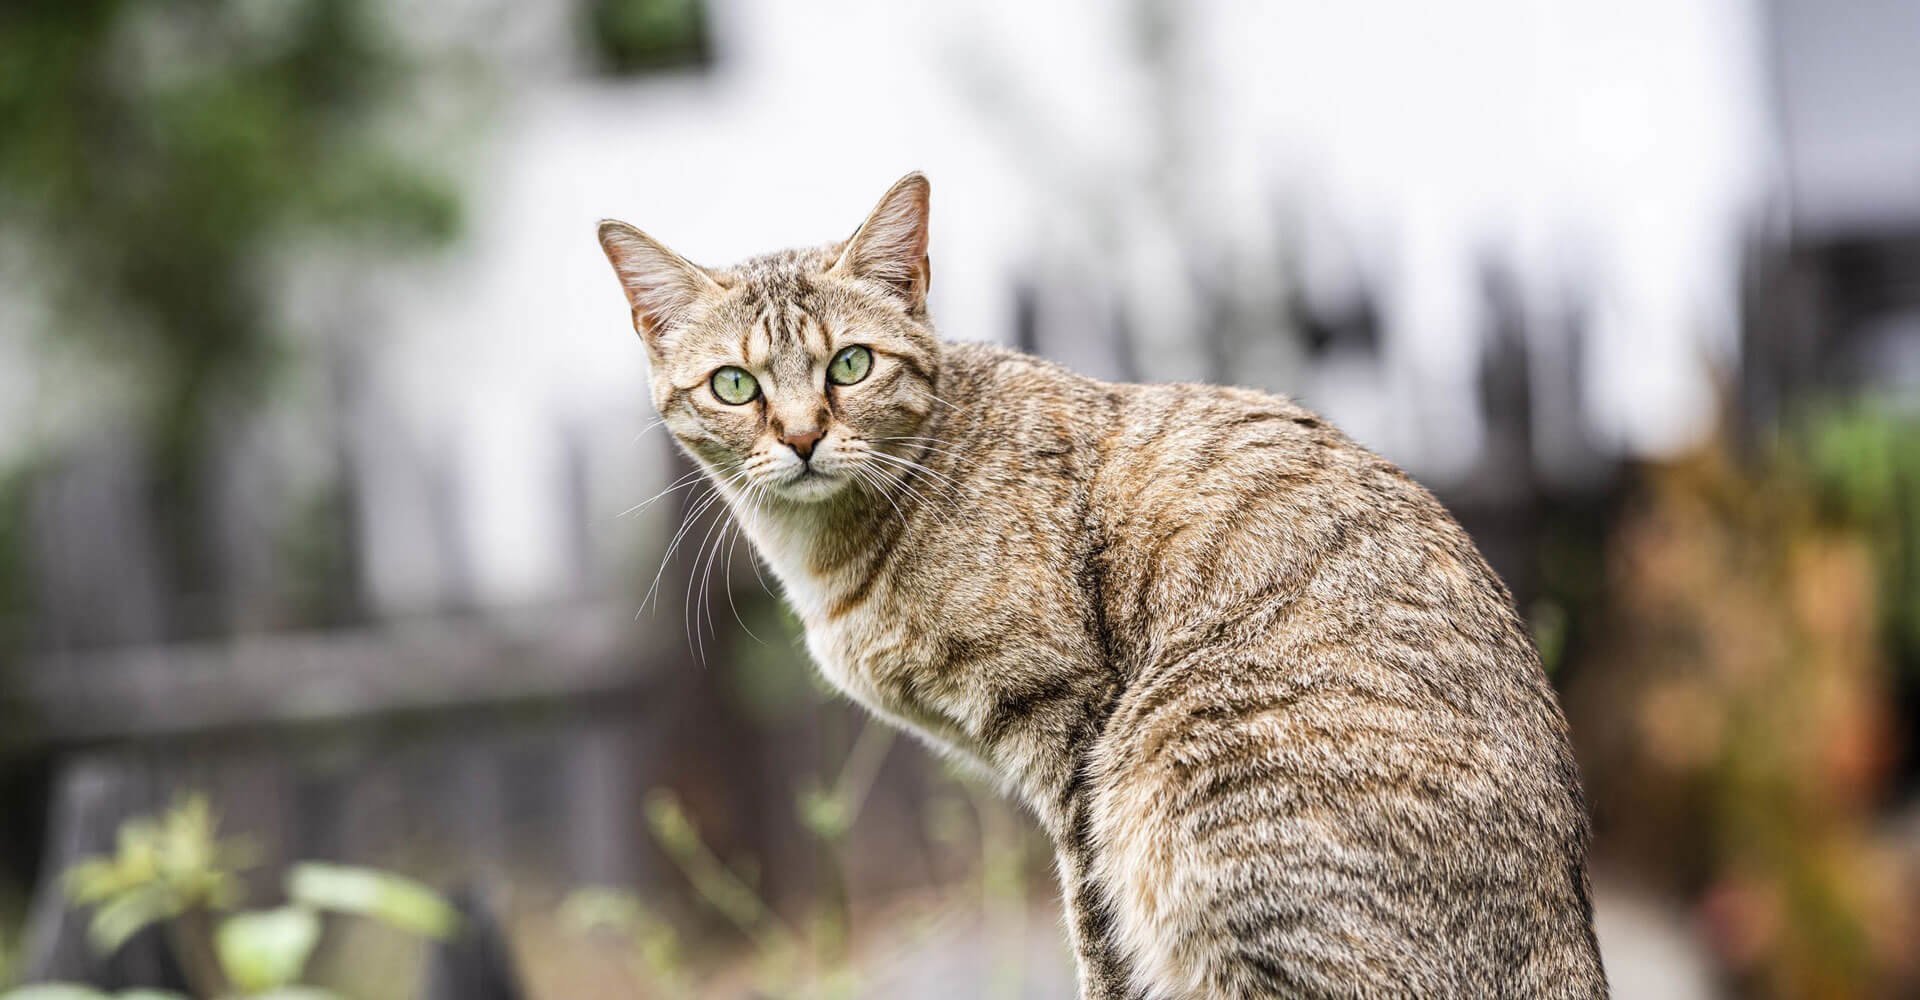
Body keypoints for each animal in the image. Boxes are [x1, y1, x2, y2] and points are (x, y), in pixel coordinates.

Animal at [595, 175, 1605, 990]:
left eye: (851, 364)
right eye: (735, 384)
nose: (803, 436)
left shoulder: (1073, 741)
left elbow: (1099, 940)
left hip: (1185, 803)